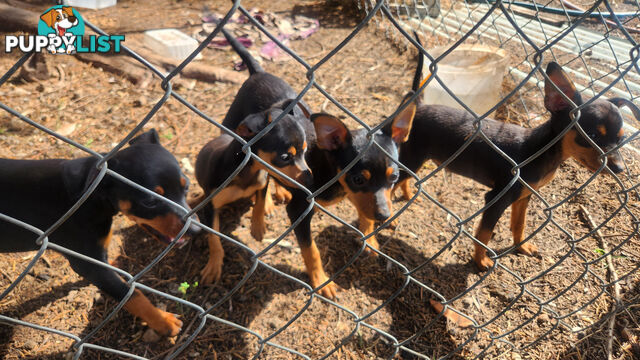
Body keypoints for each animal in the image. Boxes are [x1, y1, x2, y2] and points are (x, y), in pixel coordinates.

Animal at [0, 130, 198, 338]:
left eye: (186, 186)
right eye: (150, 202)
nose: (196, 230)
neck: (92, 196)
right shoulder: (88, 264)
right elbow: (132, 294)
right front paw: (163, 321)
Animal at [195, 26, 316, 286]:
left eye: (305, 151)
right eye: (284, 157)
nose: (310, 178)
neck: (247, 171)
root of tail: (258, 72)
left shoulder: (263, 176)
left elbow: (260, 198)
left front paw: (258, 225)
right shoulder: (211, 208)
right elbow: (214, 238)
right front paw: (214, 265)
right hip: (229, 123)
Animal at [396, 52, 624, 270]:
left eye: (621, 139)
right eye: (591, 136)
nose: (620, 168)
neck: (541, 151)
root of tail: (419, 106)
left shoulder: (524, 196)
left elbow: (519, 224)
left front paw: (521, 246)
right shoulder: (497, 199)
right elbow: (484, 234)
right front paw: (480, 261)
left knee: (404, 180)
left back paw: (407, 196)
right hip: (413, 158)